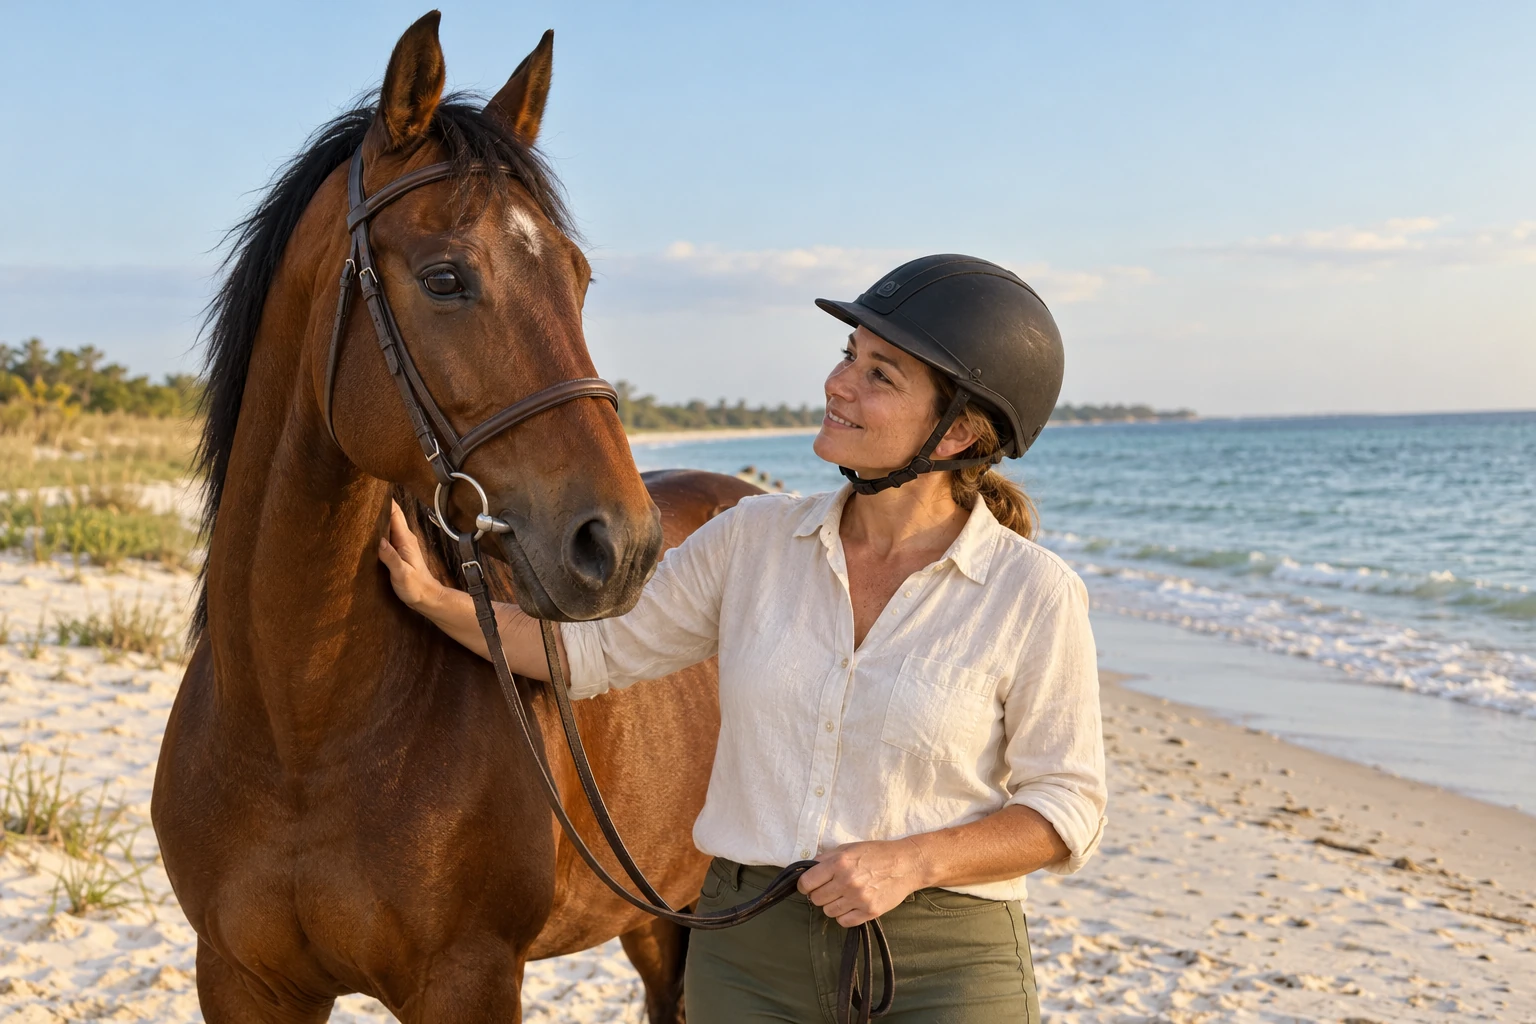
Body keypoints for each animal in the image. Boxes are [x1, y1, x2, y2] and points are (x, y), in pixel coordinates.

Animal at [152, 14, 749, 1021]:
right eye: (443, 278)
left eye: (578, 279)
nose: (622, 547)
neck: (297, 730)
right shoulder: (237, 979)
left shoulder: (470, 977)